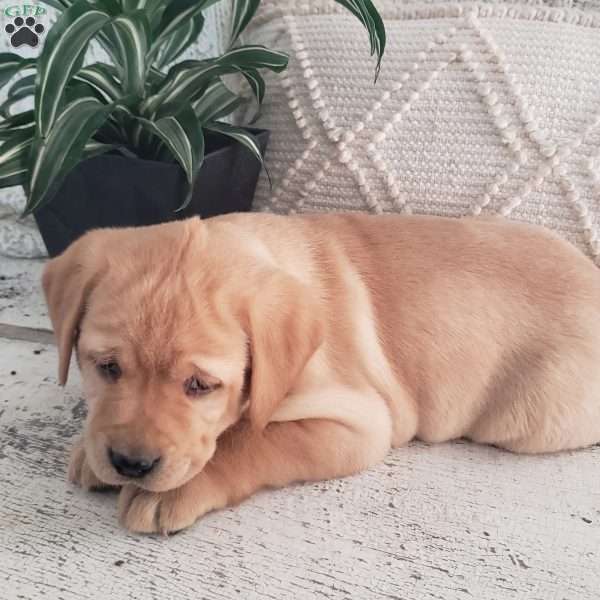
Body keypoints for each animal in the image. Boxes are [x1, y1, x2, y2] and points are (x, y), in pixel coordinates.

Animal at [44, 213, 600, 532]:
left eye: (200, 386)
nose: (130, 464)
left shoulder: (359, 422)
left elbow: (249, 439)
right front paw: (90, 455)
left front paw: (172, 491)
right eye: (106, 366)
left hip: (534, 415)